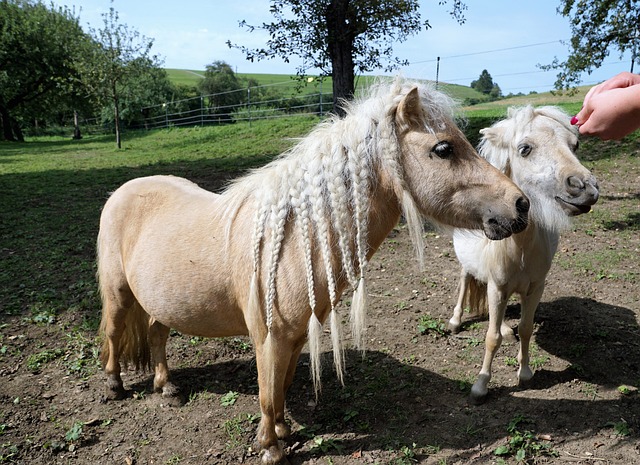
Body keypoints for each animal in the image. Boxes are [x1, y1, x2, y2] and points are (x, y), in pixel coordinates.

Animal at [99, 78, 528, 462]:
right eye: (443, 148)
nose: (520, 204)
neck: (292, 239)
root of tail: (125, 189)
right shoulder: (268, 337)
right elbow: (267, 391)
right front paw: (270, 447)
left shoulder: (295, 336)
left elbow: (282, 386)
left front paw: (282, 430)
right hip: (119, 295)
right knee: (114, 332)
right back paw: (114, 386)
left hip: (160, 301)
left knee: (156, 334)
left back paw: (166, 386)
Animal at [448, 105, 596, 402]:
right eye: (524, 149)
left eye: (575, 145)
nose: (585, 188)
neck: (520, 246)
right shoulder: (497, 287)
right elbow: (491, 338)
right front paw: (481, 385)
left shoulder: (535, 287)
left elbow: (526, 328)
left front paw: (525, 373)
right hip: (467, 266)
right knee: (465, 282)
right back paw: (456, 320)